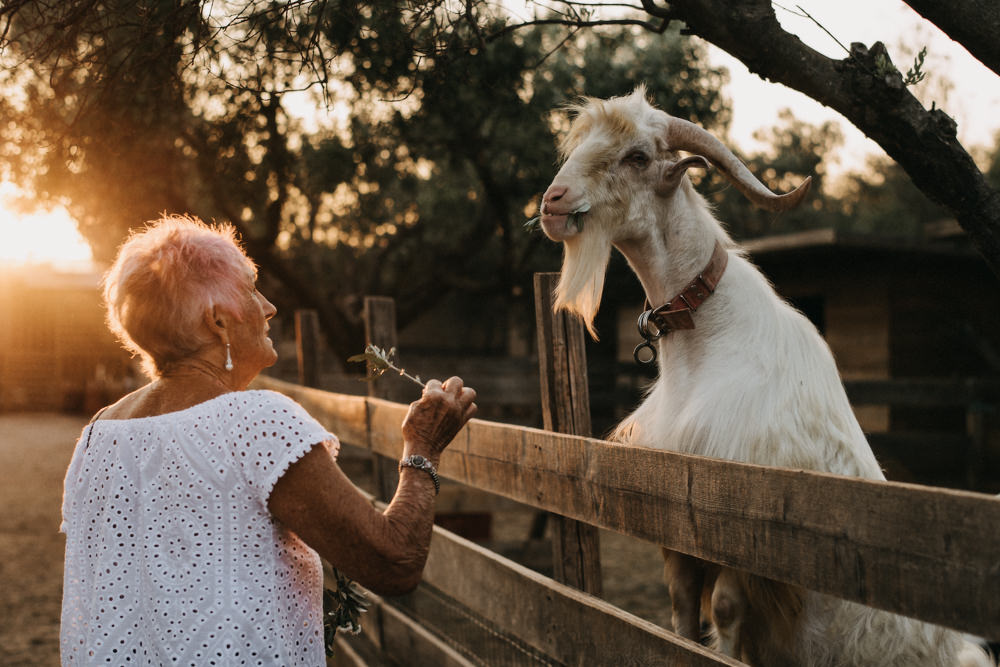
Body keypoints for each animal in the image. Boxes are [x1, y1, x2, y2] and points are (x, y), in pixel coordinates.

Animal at [540, 87, 992, 667]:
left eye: (637, 156)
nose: (553, 202)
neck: (705, 349)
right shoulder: (675, 520)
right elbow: (680, 611)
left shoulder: (742, 523)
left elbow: (725, 610)